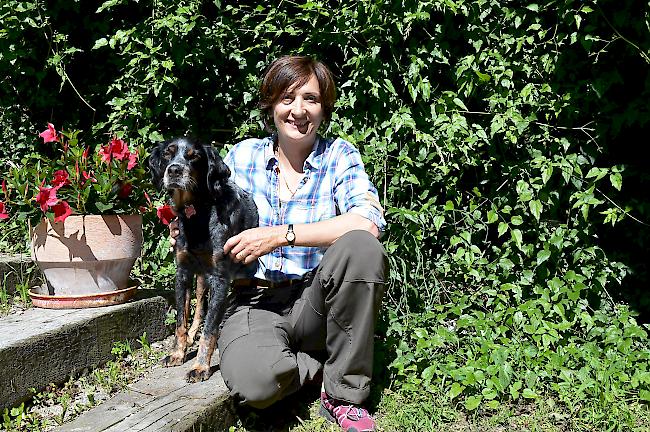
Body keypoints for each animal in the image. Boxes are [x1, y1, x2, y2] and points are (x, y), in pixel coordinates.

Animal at [148, 138, 256, 382]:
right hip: (199, 278)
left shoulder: (219, 278)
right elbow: (181, 320)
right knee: (197, 309)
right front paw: (177, 353)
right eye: (168, 154)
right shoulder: (183, 273)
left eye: (194, 156)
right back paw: (189, 338)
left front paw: (200, 367)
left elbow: (210, 329)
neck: (196, 214)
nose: (174, 170)